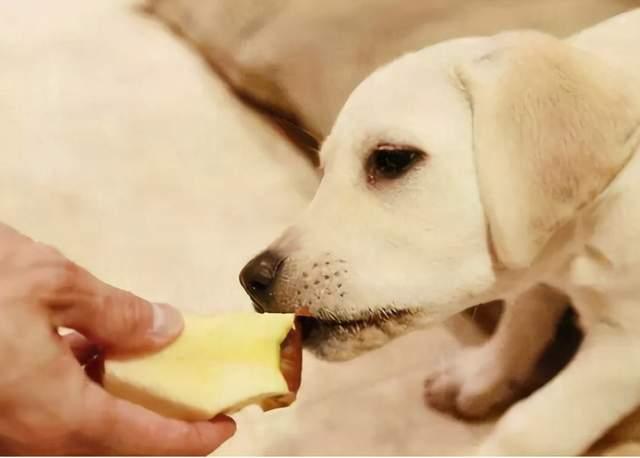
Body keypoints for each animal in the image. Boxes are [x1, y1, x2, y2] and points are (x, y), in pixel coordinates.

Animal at [239, 10, 640, 454]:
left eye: (392, 160)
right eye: (323, 170)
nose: (251, 280)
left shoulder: (624, 351)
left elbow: (527, 426)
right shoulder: (539, 264)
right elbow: (523, 315)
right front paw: (478, 377)